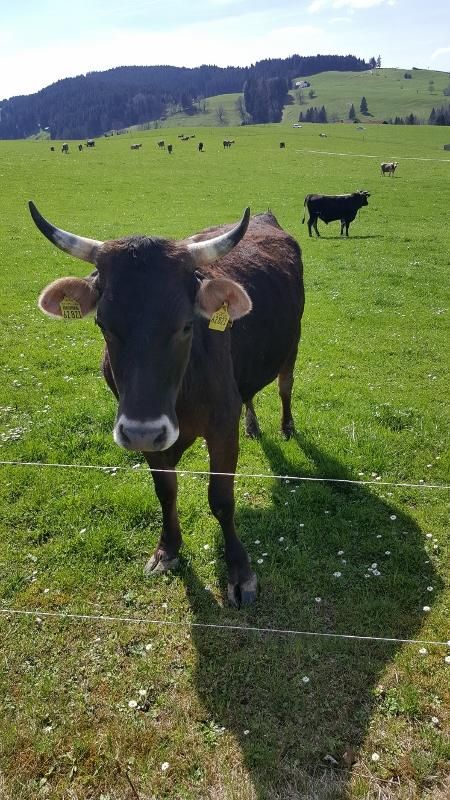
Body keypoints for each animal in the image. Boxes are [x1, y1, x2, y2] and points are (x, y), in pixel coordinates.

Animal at [28, 202, 304, 608]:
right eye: (103, 324)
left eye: (187, 325)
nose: (144, 429)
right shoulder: (146, 436)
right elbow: (165, 490)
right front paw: (168, 549)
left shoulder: (222, 425)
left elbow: (221, 499)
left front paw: (240, 572)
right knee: (250, 393)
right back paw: (254, 425)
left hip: (292, 342)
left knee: (285, 385)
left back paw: (286, 427)